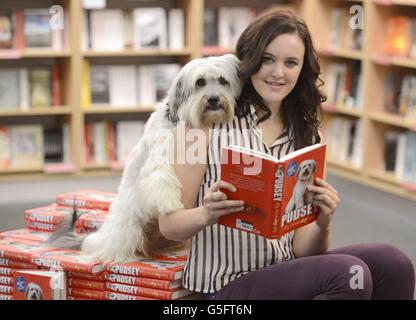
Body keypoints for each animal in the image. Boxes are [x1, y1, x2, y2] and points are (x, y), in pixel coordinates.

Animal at [49, 53, 242, 262]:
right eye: (200, 82)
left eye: (223, 81)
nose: (213, 99)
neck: (177, 121)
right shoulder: (158, 160)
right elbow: (161, 178)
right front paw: (170, 203)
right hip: (129, 228)